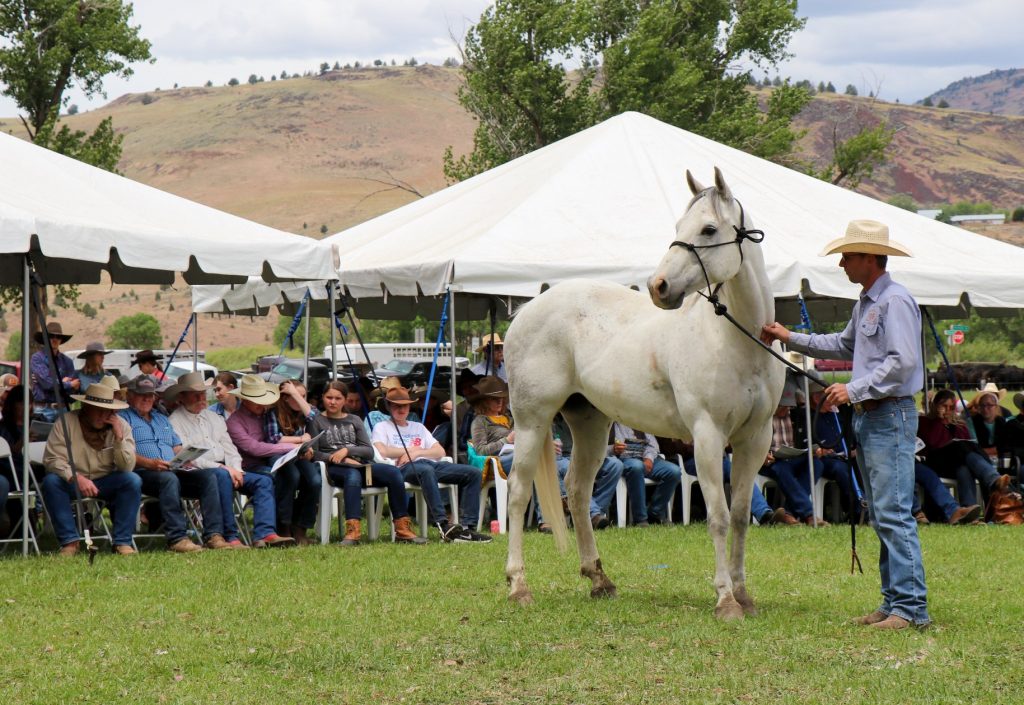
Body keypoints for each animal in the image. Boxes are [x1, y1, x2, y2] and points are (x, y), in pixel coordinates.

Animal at [502, 167, 785, 620]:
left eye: (708, 229)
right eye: (678, 226)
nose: (658, 287)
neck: (735, 341)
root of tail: (528, 309)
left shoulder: (754, 440)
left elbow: (741, 516)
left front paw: (744, 596)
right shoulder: (707, 436)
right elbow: (719, 517)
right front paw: (725, 600)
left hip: (590, 422)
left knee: (577, 491)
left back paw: (599, 579)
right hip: (532, 421)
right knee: (518, 492)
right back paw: (518, 586)